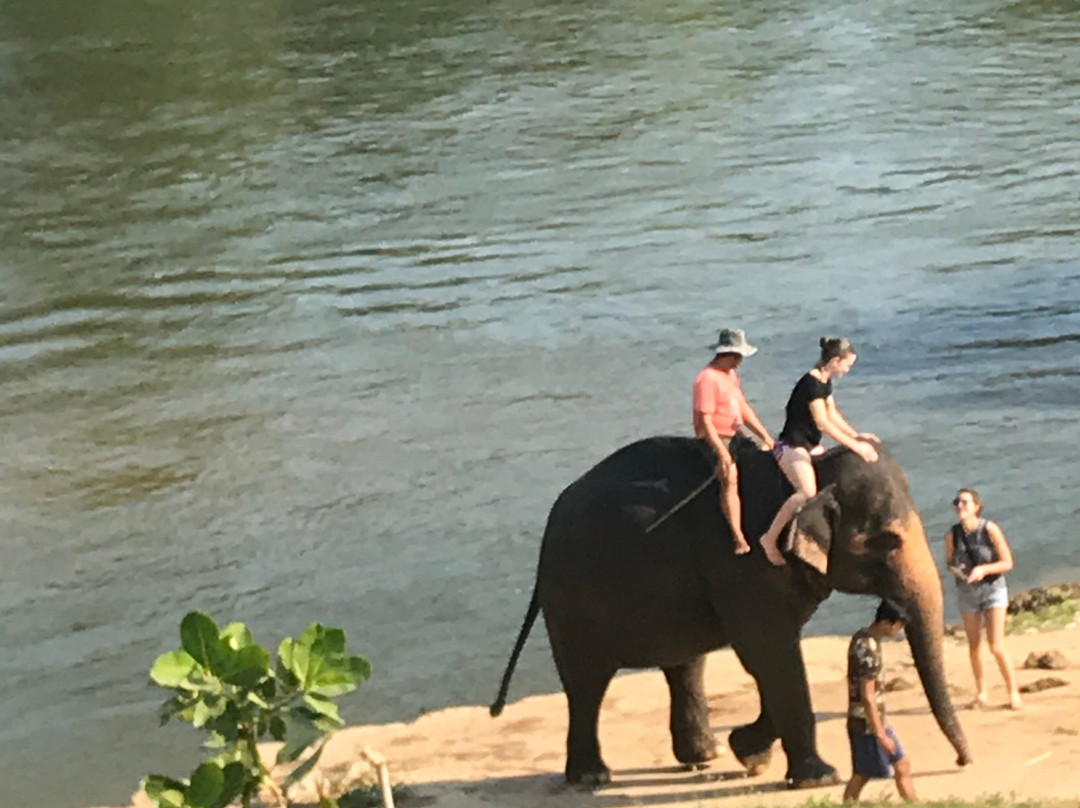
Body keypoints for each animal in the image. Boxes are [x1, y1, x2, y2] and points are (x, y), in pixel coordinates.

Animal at [489, 435, 971, 788]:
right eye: (888, 540)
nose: (962, 763)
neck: (803, 477)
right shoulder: (746, 568)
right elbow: (770, 656)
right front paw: (818, 778)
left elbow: (772, 660)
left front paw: (747, 752)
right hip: (572, 601)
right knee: (587, 684)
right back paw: (592, 778)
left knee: (685, 665)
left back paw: (705, 756)